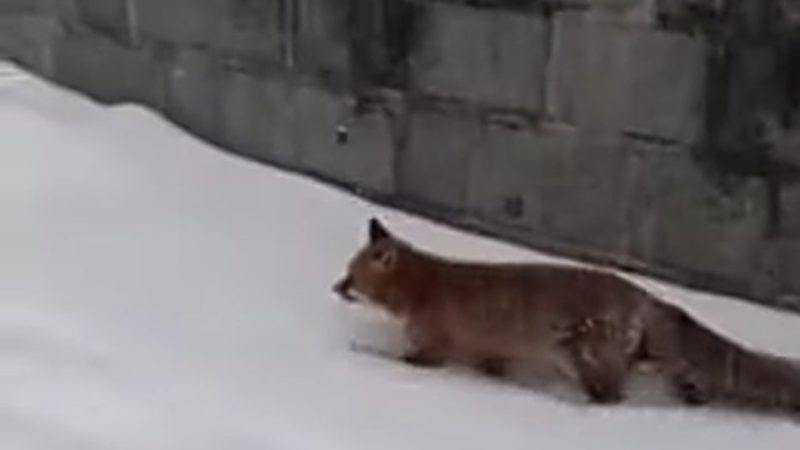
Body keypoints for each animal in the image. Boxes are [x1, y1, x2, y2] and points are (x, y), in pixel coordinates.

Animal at [333, 218, 800, 414]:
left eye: (351, 275)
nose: (335, 288)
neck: (424, 288)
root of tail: (647, 297)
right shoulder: (491, 352)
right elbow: (493, 371)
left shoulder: (434, 348)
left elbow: (403, 360)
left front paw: (363, 353)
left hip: (583, 359)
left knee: (611, 399)